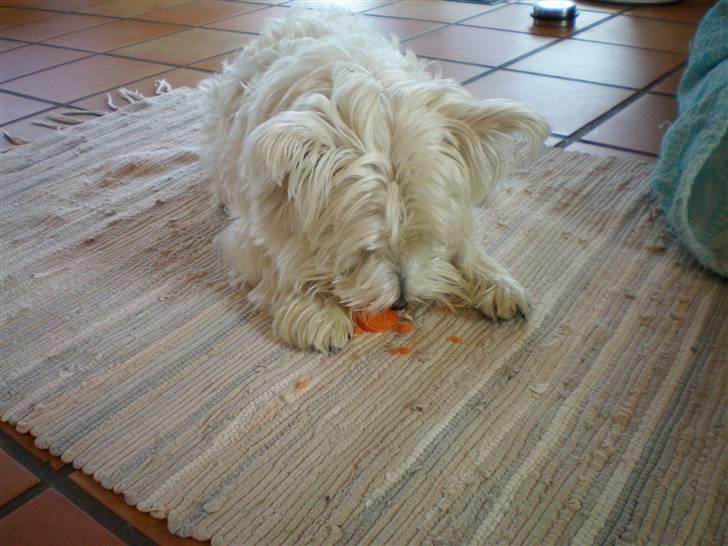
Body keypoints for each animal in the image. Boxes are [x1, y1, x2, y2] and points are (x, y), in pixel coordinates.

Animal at [199, 10, 544, 350]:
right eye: (364, 250)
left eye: (422, 237)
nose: (401, 303)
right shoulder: (249, 232)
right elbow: (277, 263)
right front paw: (316, 310)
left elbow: (464, 245)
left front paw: (495, 281)